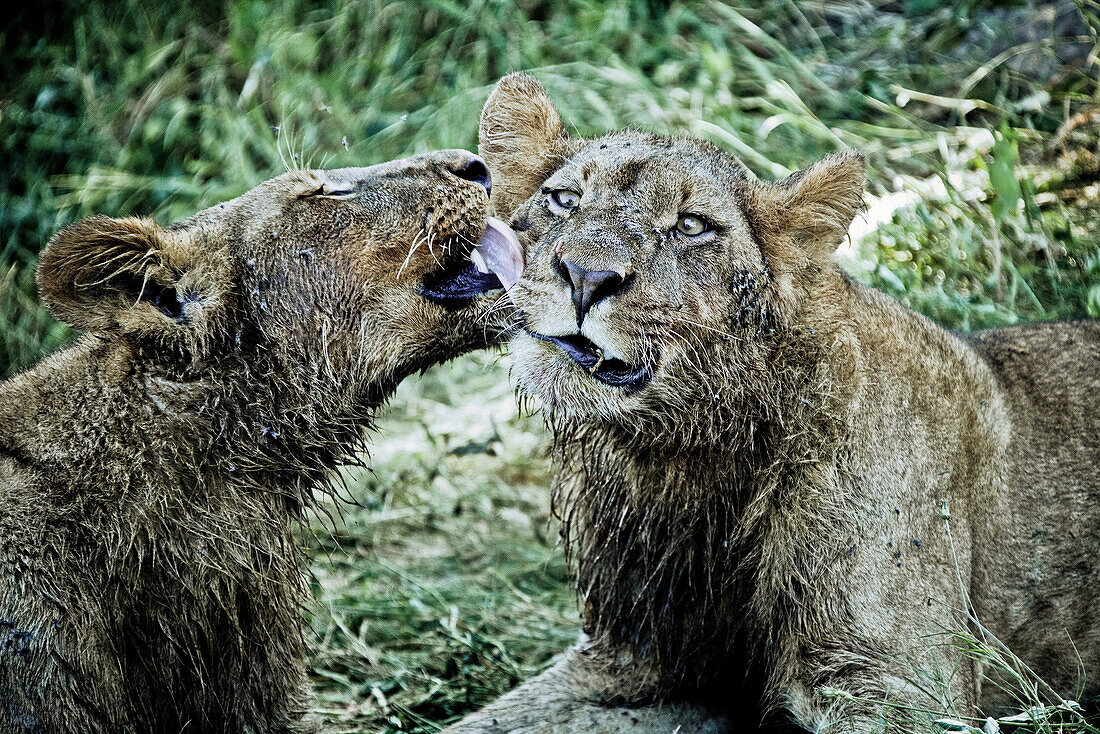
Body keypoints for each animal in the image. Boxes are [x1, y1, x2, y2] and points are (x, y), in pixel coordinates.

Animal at [444, 70, 1100, 734]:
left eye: (691, 226)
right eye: (563, 199)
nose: (584, 276)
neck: (685, 453)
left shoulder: (901, 685)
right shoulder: (634, 664)